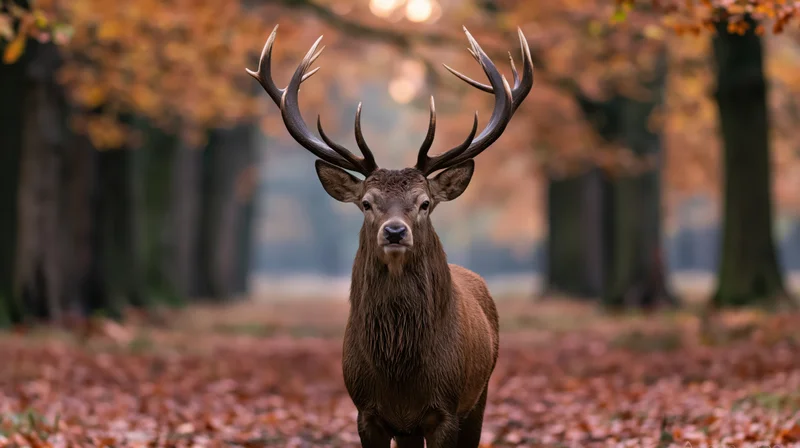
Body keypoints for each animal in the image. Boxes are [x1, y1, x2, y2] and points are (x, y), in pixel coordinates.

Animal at [247, 25, 533, 448]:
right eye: (367, 203)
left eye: (425, 203)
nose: (395, 231)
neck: (399, 376)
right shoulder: (366, 411)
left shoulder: (447, 410)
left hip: (479, 395)